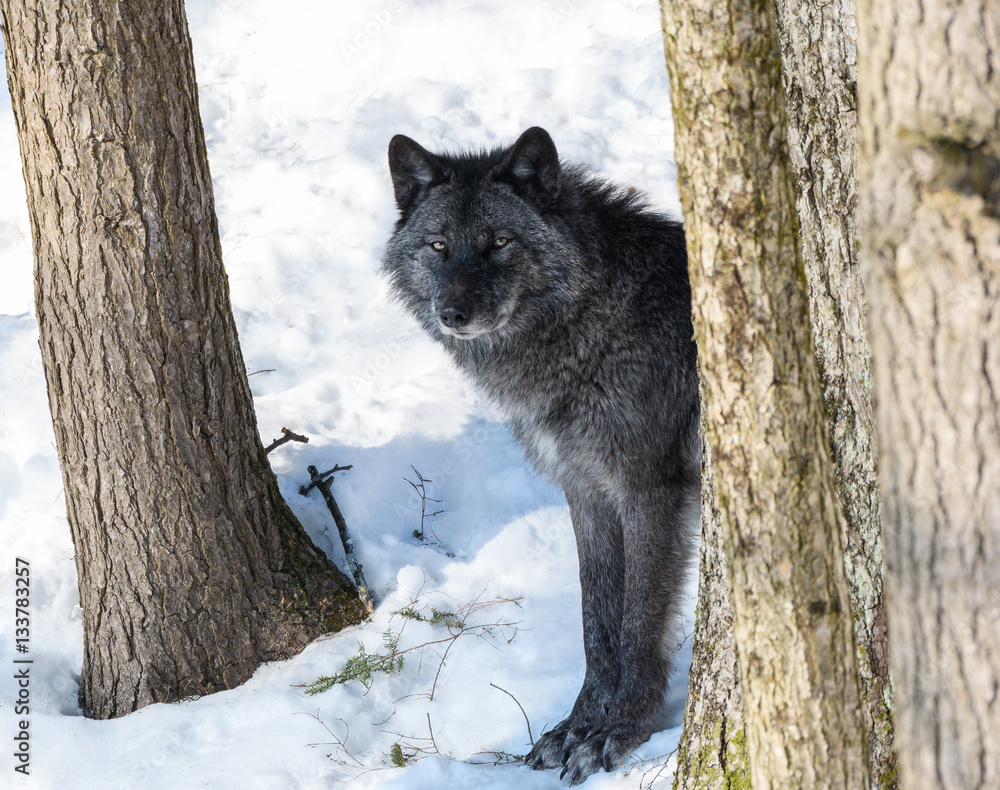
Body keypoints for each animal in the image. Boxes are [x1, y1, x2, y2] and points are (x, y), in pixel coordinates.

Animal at [381, 127, 700, 784]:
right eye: (439, 245)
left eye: (500, 242)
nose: (454, 314)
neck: (592, 324)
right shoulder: (588, 493)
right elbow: (596, 622)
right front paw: (578, 725)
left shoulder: (648, 492)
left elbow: (636, 624)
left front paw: (620, 731)